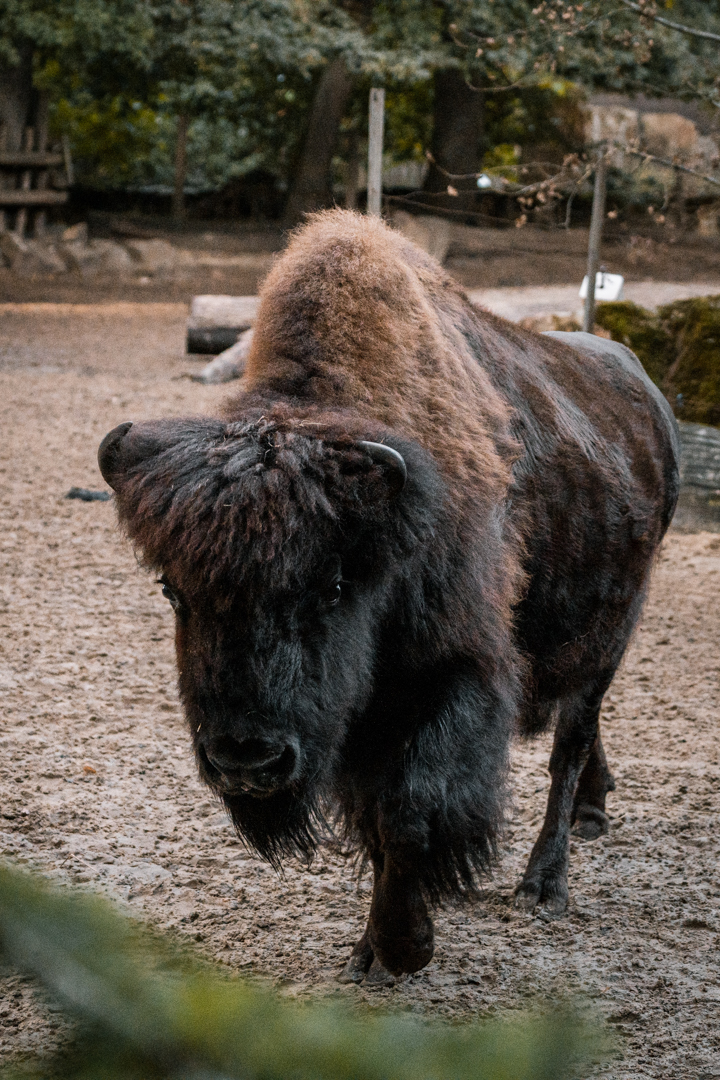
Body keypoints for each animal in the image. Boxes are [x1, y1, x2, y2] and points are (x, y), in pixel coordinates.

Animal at [98, 210, 679, 986]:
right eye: (173, 590)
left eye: (335, 584)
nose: (247, 761)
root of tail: (648, 400)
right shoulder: (353, 718)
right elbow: (378, 821)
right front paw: (373, 948)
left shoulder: (455, 675)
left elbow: (411, 811)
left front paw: (405, 947)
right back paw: (594, 811)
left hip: (612, 632)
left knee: (570, 741)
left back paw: (544, 885)